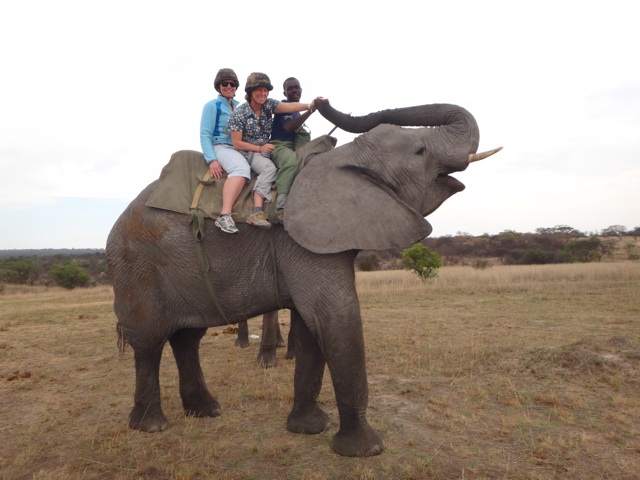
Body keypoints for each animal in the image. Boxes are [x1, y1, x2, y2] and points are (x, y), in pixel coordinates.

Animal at [106, 99, 501, 457]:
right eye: (420, 151)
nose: (322, 100)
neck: (345, 161)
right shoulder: (301, 243)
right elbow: (337, 317)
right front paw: (365, 450)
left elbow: (313, 327)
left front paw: (309, 429)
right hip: (136, 268)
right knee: (149, 343)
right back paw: (150, 426)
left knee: (188, 339)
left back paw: (206, 411)